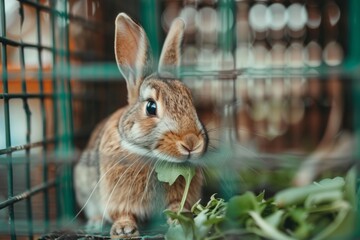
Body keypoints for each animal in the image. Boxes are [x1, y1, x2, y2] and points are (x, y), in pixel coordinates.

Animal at [73, 12, 208, 237]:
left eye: (191, 101)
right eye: (151, 107)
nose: (191, 142)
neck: (151, 157)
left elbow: (175, 206)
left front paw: (180, 220)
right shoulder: (118, 197)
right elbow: (122, 213)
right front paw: (123, 230)